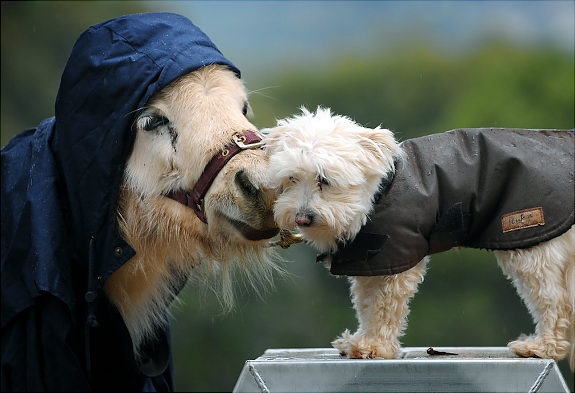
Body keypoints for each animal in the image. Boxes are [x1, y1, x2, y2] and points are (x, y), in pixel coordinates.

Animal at [264, 105, 575, 368]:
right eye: (291, 179)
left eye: (324, 180)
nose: (301, 218)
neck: (378, 192)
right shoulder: (371, 263)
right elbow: (366, 305)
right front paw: (362, 341)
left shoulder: (397, 260)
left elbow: (383, 307)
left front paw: (375, 348)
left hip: (531, 242)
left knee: (554, 301)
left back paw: (542, 346)